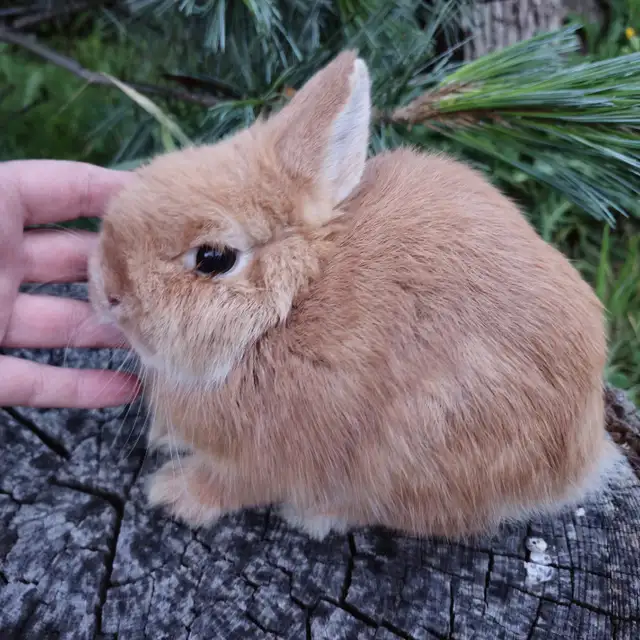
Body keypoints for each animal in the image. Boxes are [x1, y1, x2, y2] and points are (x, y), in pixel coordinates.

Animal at [89, 50, 620, 541]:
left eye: (213, 258)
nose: (108, 291)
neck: (282, 313)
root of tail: (583, 458)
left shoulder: (268, 456)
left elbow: (231, 485)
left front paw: (173, 493)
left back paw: (317, 516)